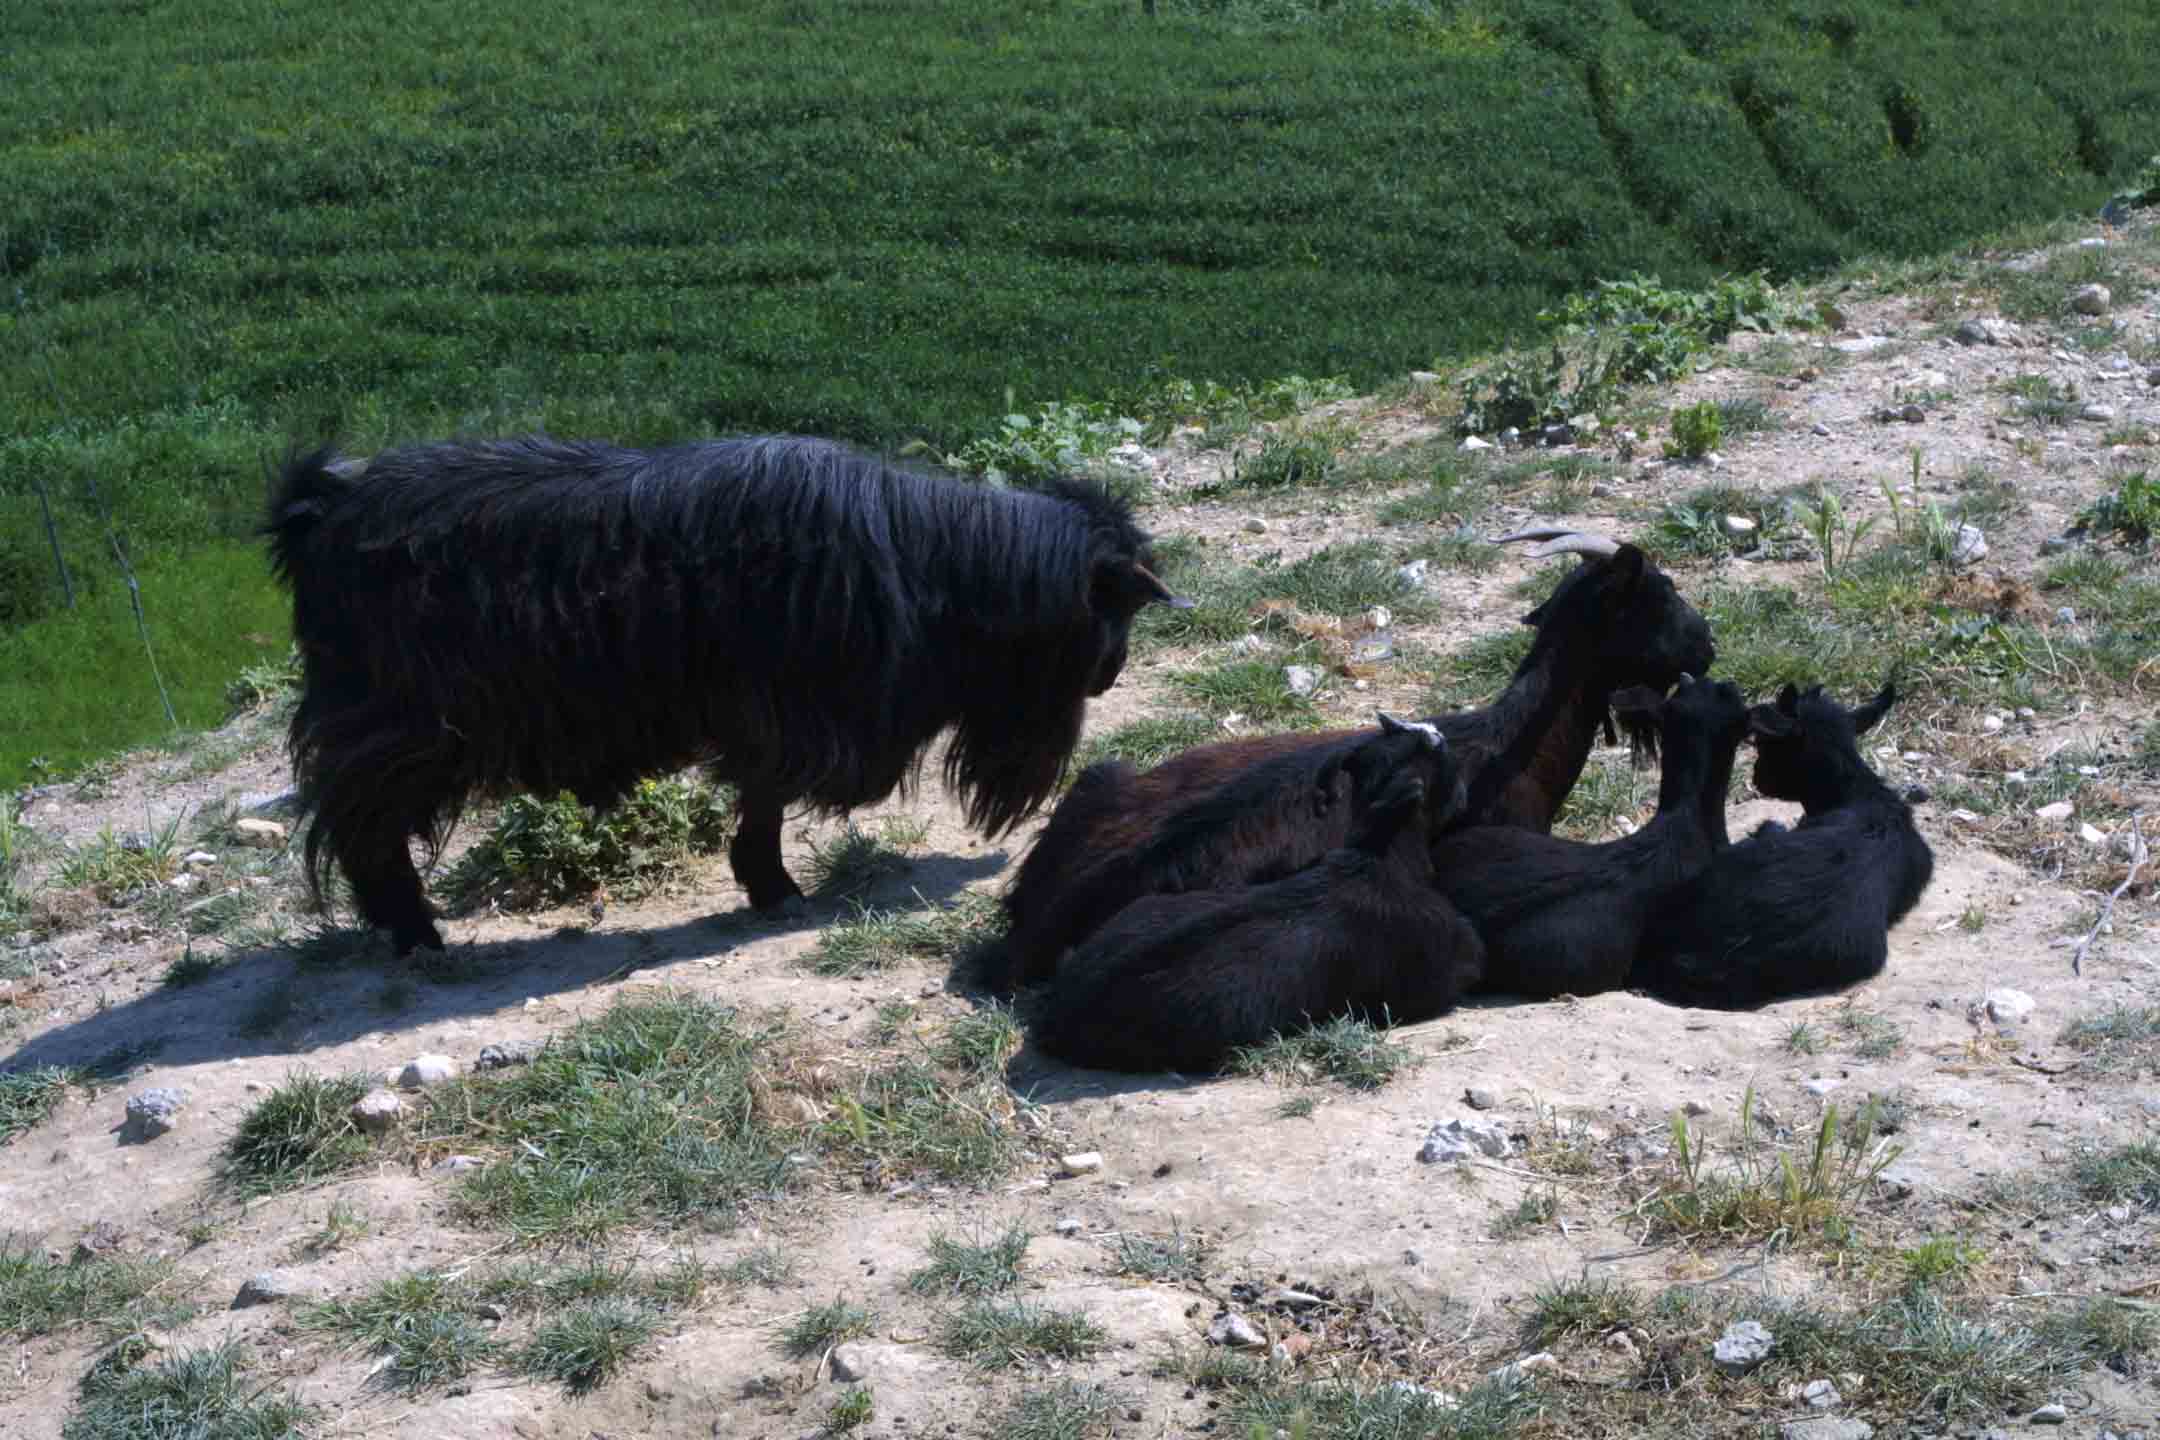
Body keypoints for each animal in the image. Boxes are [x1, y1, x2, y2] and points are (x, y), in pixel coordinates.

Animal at [265, 440, 1200, 958]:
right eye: (1111, 608)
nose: (1110, 677)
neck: (933, 562)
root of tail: (323, 508)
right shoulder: (791, 716)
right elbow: (767, 797)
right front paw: (775, 886)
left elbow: (761, 796)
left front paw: (764, 881)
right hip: (397, 737)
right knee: (365, 835)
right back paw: (416, 936)